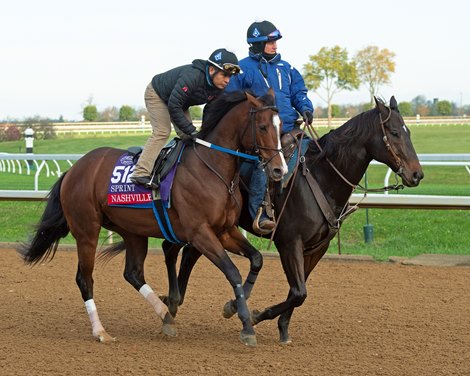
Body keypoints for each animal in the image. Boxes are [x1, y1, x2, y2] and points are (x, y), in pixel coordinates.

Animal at [19, 90, 286, 346]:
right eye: (263, 126)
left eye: (281, 125)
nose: (279, 170)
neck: (212, 168)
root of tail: (73, 170)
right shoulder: (200, 232)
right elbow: (232, 272)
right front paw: (246, 326)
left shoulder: (225, 230)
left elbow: (257, 259)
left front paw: (236, 307)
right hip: (87, 230)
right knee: (85, 279)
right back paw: (101, 332)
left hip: (132, 231)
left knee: (133, 273)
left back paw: (166, 316)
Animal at [163, 96, 424, 344]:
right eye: (394, 132)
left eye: (409, 132)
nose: (417, 174)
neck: (320, 178)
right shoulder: (289, 243)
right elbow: (299, 292)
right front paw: (253, 315)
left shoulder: (317, 248)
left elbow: (297, 292)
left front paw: (281, 328)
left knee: (189, 253)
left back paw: (175, 304)